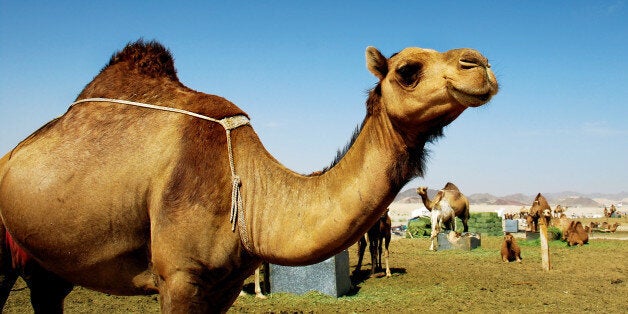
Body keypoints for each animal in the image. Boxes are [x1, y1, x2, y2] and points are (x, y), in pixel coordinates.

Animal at [0, 39, 500, 312]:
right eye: (408, 70)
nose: (480, 64)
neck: (253, 191)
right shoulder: (177, 277)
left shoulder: (219, 285)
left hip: (48, 266)